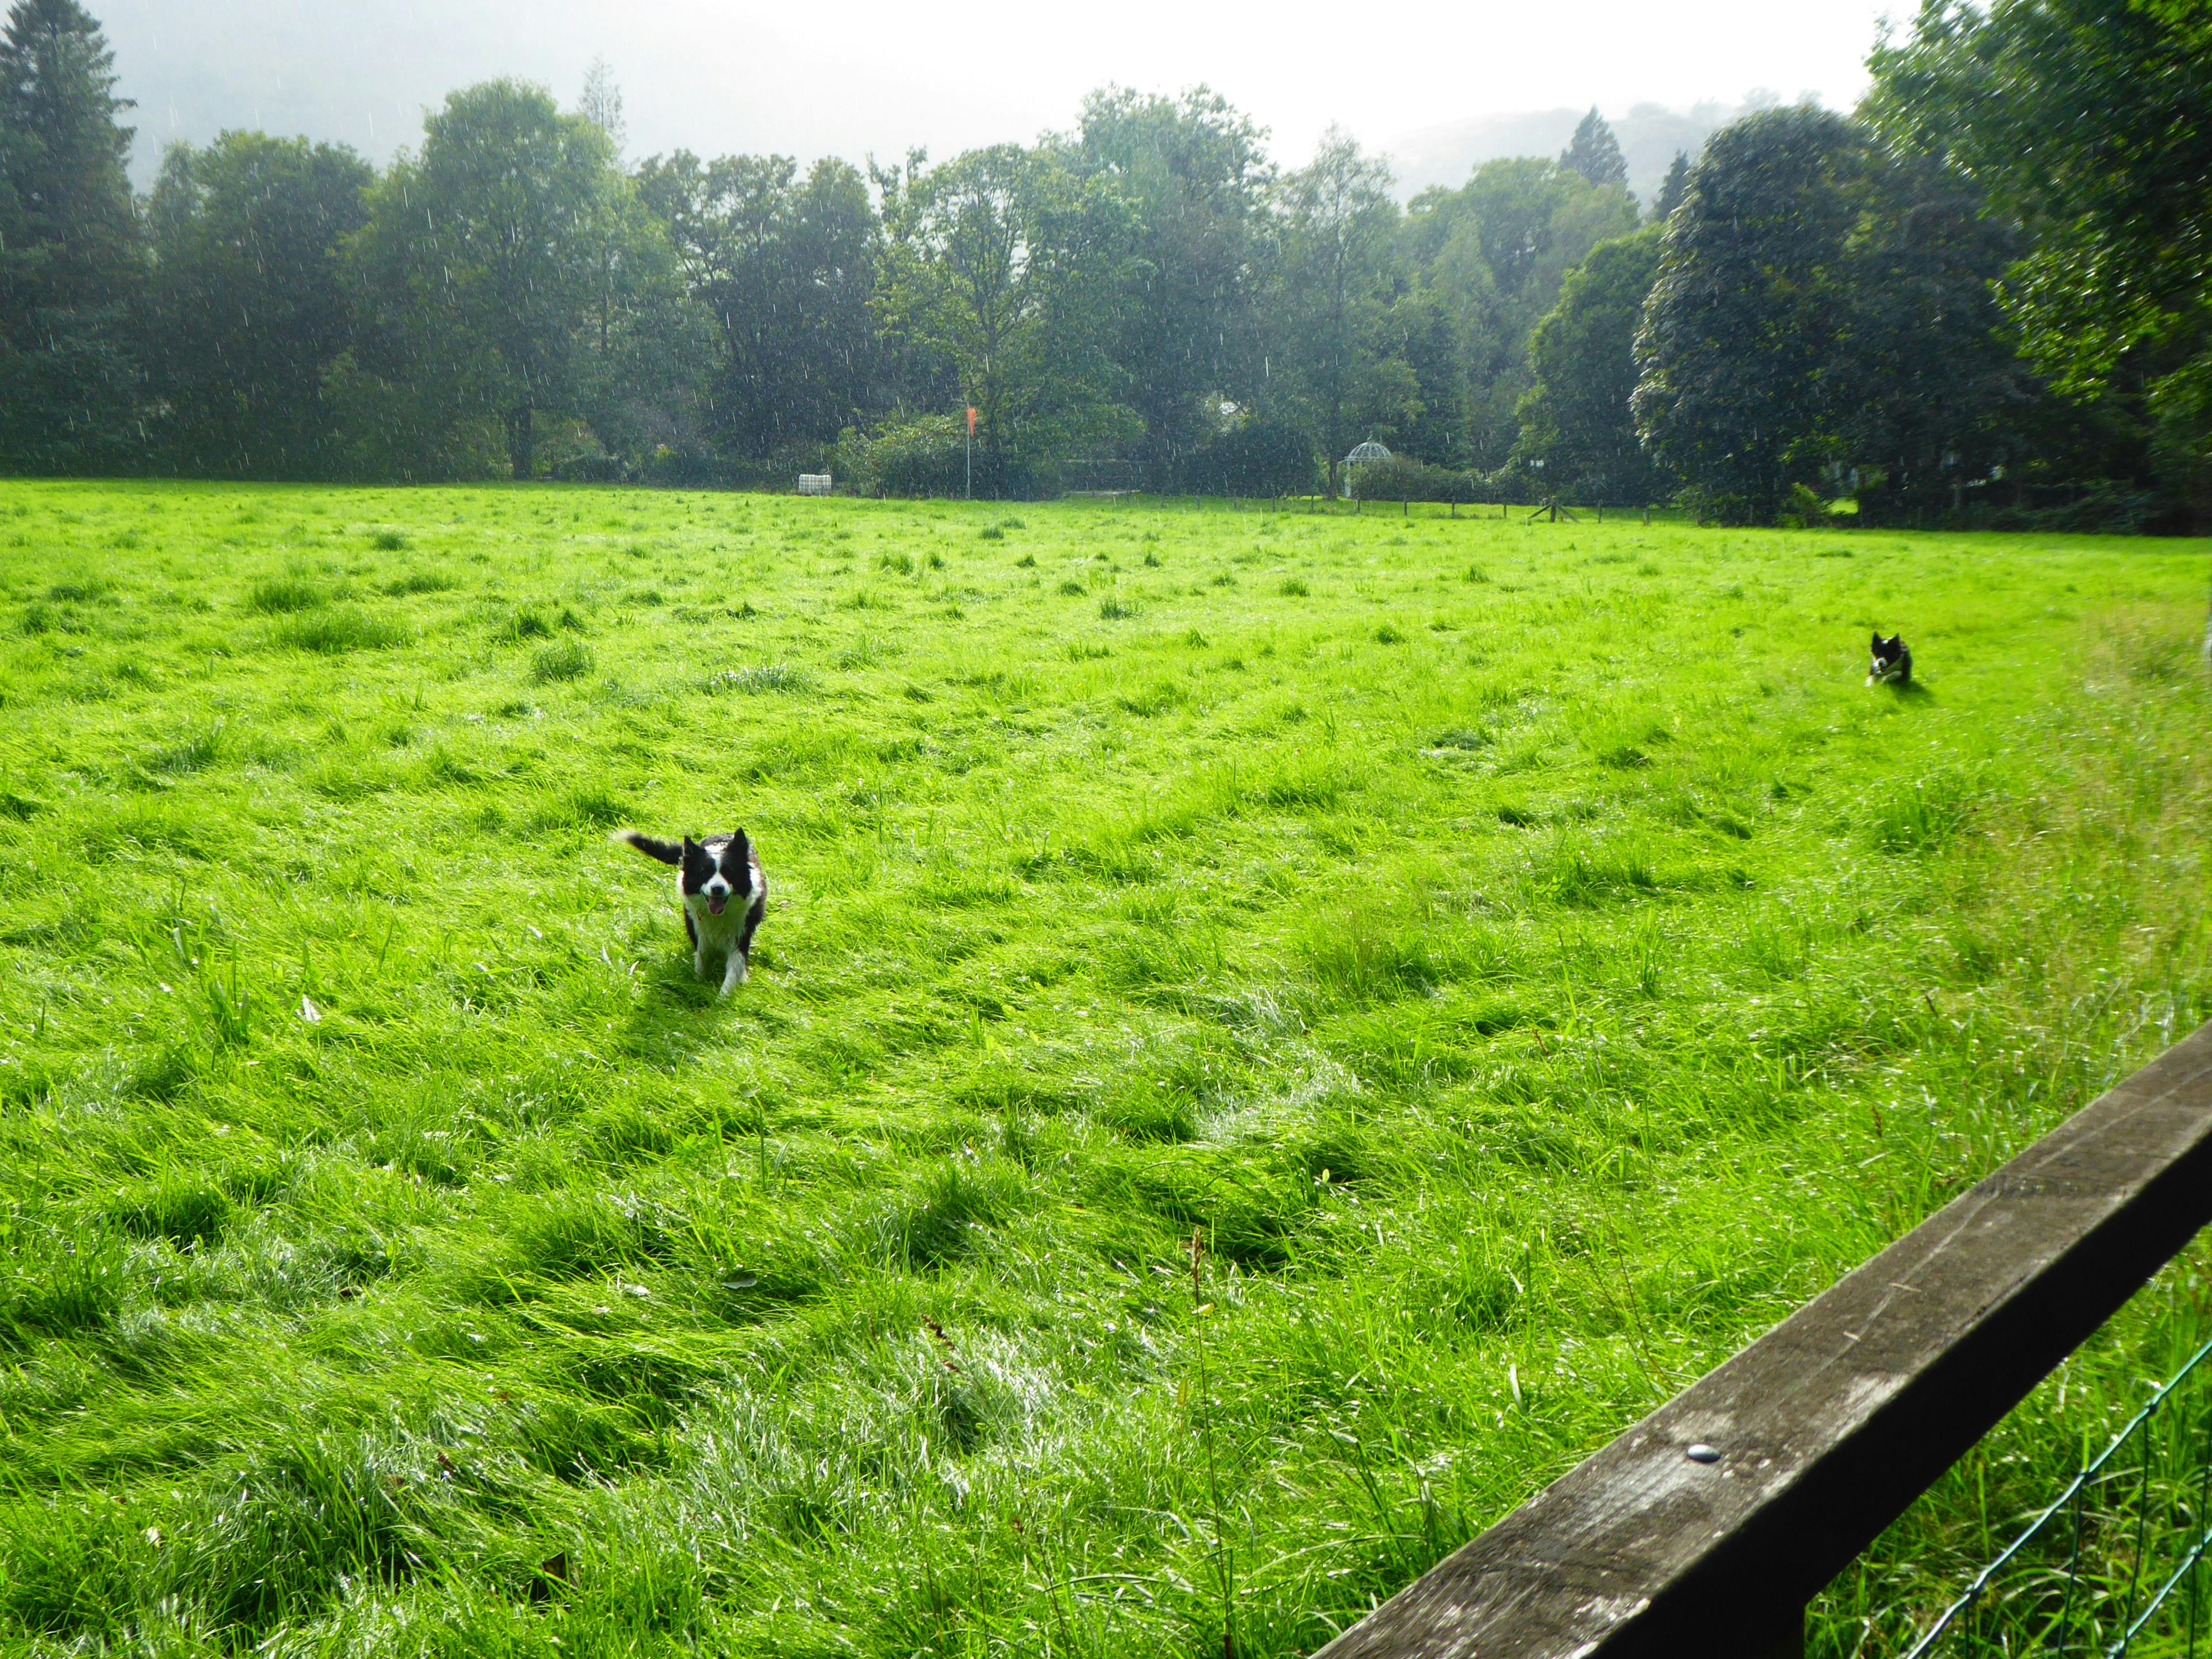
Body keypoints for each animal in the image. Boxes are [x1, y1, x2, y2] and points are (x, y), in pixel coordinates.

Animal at [615, 832, 770, 1000]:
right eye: (704, 872)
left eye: (729, 872)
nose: (717, 888)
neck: (718, 916)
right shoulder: (699, 930)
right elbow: (702, 959)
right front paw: (699, 984)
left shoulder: (740, 933)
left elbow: (734, 969)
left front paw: (722, 998)